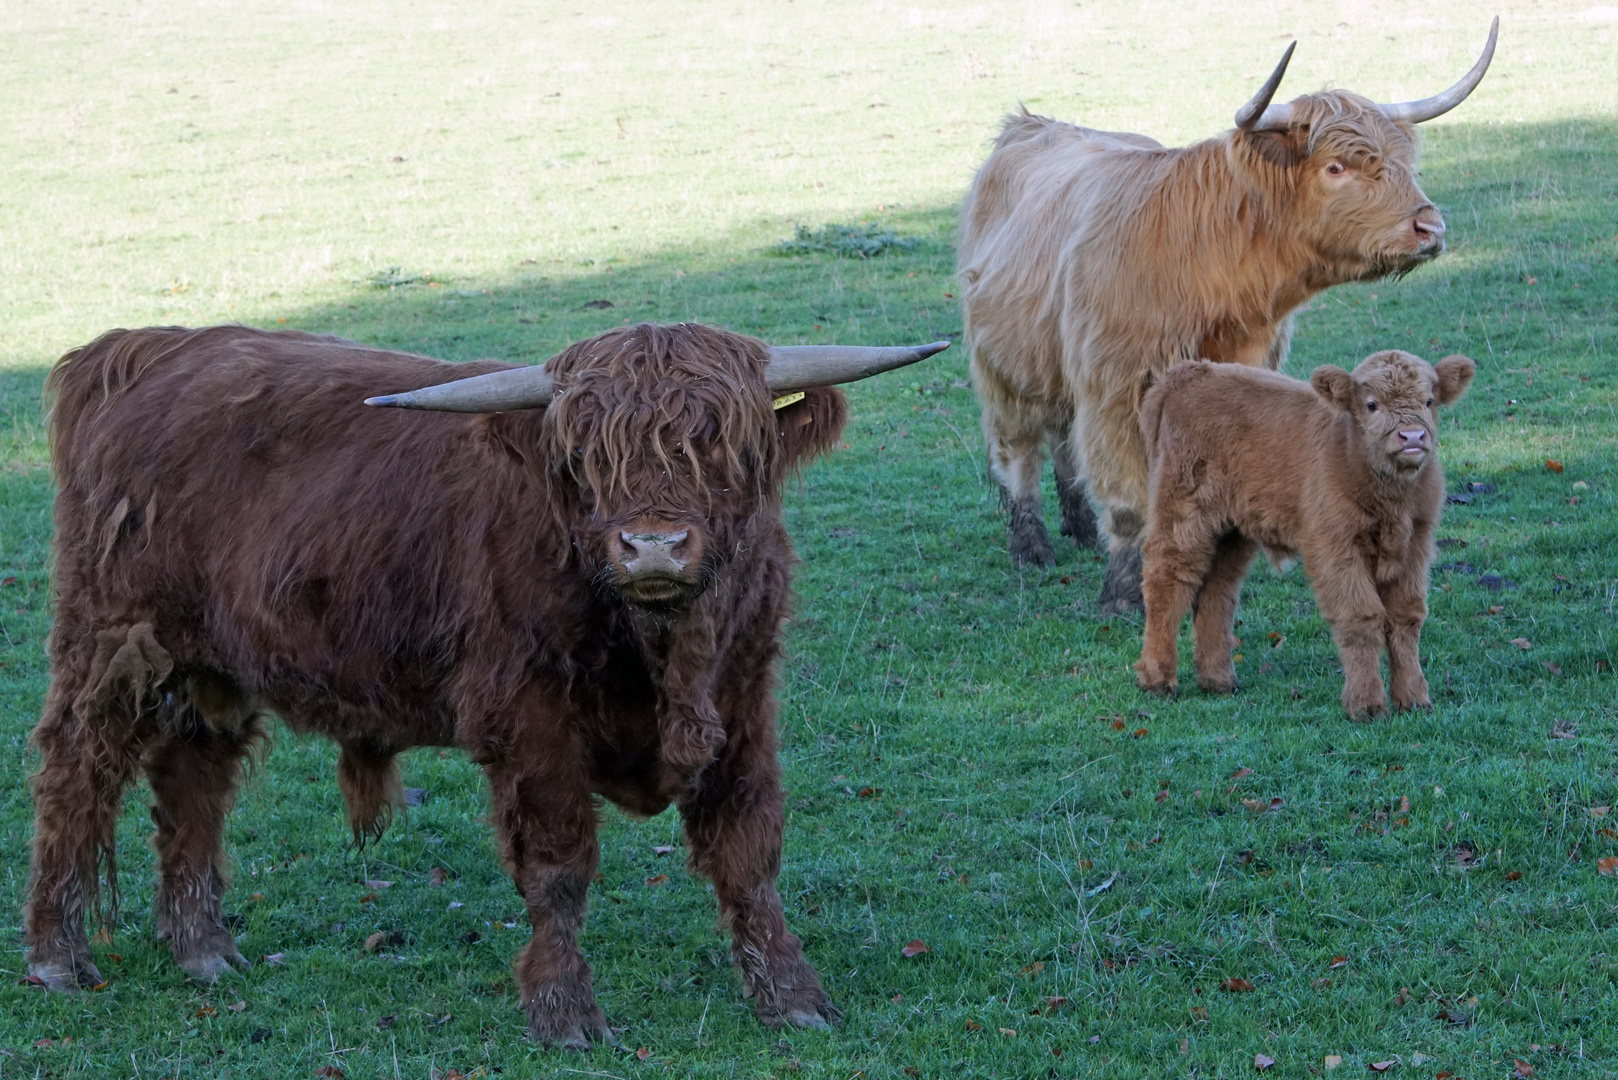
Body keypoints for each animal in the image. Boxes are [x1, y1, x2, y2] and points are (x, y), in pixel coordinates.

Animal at [25, 320, 944, 1049]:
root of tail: (146, 348)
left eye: (721, 444)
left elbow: (748, 854)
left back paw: (204, 951)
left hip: (211, 666)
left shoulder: (745, 702)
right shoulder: (530, 718)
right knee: (76, 775)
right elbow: (560, 865)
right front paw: (566, 1014)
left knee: (193, 783)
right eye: (584, 455)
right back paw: (57, 958)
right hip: (112, 644)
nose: (651, 546)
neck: (660, 650)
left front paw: (793, 998)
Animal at [951, 21, 1495, 612]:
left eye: (1404, 161)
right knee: (1017, 452)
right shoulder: (1115, 389)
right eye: (1336, 166)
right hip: (1003, 368)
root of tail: (1027, 123)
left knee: (1061, 440)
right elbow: (1129, 499)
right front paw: (1124, 592)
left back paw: (1079, 529)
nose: (1430, 228)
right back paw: (1032, 548)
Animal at [1132, 348, 1475, 718]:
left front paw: (1413, 698)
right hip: (1181, 512)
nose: (1412, 437)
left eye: (1429, 401)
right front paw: (1366, 704)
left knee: (1216, 592)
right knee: (1167, 582)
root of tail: (1189, 372)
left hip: (1232, 530)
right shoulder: (1336, 546)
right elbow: (1360, 617)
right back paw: (1157, 679)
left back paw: (1218, 680)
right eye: (1371, 404)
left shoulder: (1415, 545)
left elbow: (1406, 617)